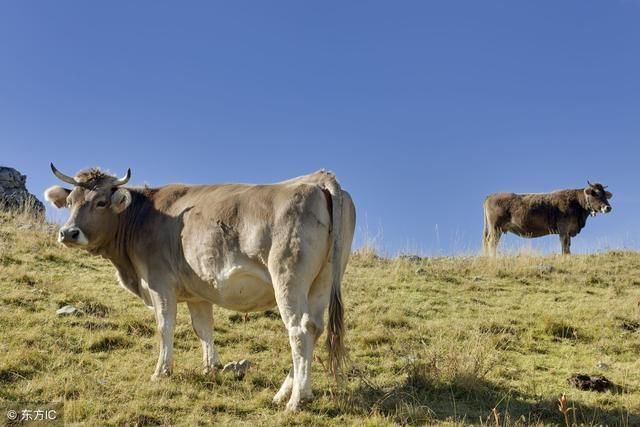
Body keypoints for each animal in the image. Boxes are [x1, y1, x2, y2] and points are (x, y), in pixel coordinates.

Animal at [43, 164, 356, 412]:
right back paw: (290, 392)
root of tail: (319, 178)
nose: (68, 233)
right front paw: (210, 368)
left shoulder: (160, 283)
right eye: (70, 201)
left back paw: (295, 400)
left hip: (288, 278)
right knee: (314, 327)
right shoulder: (197, 292)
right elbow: (203, 328)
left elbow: (165, 326)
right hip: (323, 280)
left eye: (100, 202)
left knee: (298, 330)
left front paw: (161, 372)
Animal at [482, 181, 612, 256]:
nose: (608, 207)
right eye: (595, 193)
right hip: (495, 228)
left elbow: (569, 244)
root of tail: (491, 195)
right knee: (491, 242)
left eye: (605, 195)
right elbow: (565, 243)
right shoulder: (563, 228)